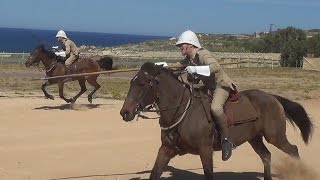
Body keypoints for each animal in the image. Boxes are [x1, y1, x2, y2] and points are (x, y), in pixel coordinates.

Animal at [119, 62, 312, 180]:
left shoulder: (205, 150)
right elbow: (154, 173)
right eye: (131, 82)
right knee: (266, 156)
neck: (182, 111)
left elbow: (209, 174)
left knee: (293, 150)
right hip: (254, 138)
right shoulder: (166, 149)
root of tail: (273, 97)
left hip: (275, 136)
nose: (125, 112)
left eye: (143, 83)